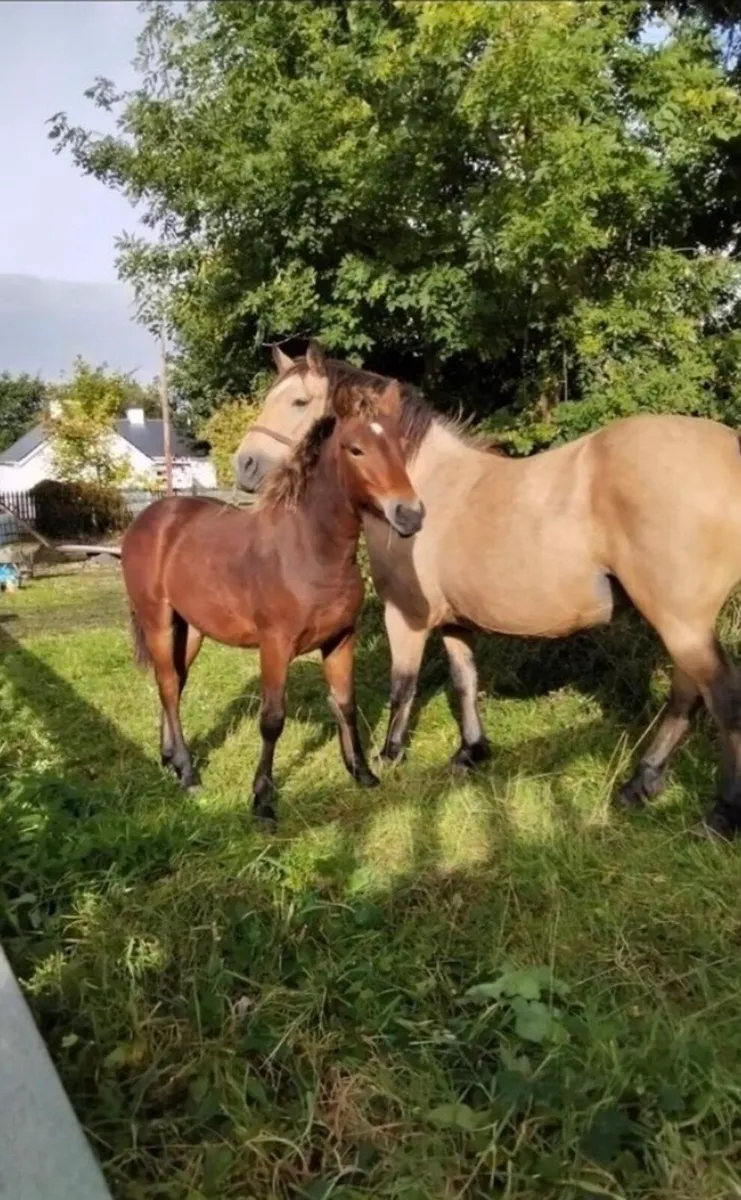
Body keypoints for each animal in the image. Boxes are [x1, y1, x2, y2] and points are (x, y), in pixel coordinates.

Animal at [121, 381, 423, 825]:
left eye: (400, 447)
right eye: (356, 449)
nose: (410, 515)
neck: (310, 550)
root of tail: (150, 517)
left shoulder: (341, 639)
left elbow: (346, 705)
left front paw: (362, 772)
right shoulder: (275, 647)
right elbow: (272, 720)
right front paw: (262, 799)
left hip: (189, 629)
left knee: (171, 683)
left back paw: (170, 760)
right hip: (157, 621)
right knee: (169, 686)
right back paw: (188, 773)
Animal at [235, 341, 741, 839]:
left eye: (300, 402)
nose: (244, 464)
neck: (425, 481)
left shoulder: (406, 615)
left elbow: (404, 685)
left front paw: (389, 755)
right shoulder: (455, 621)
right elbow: (465, 682)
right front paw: (471, 752)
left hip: (681, 622)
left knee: (721, 698)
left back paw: (720, 815)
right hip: (682, 623)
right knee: (686, 696)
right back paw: (641, 784)